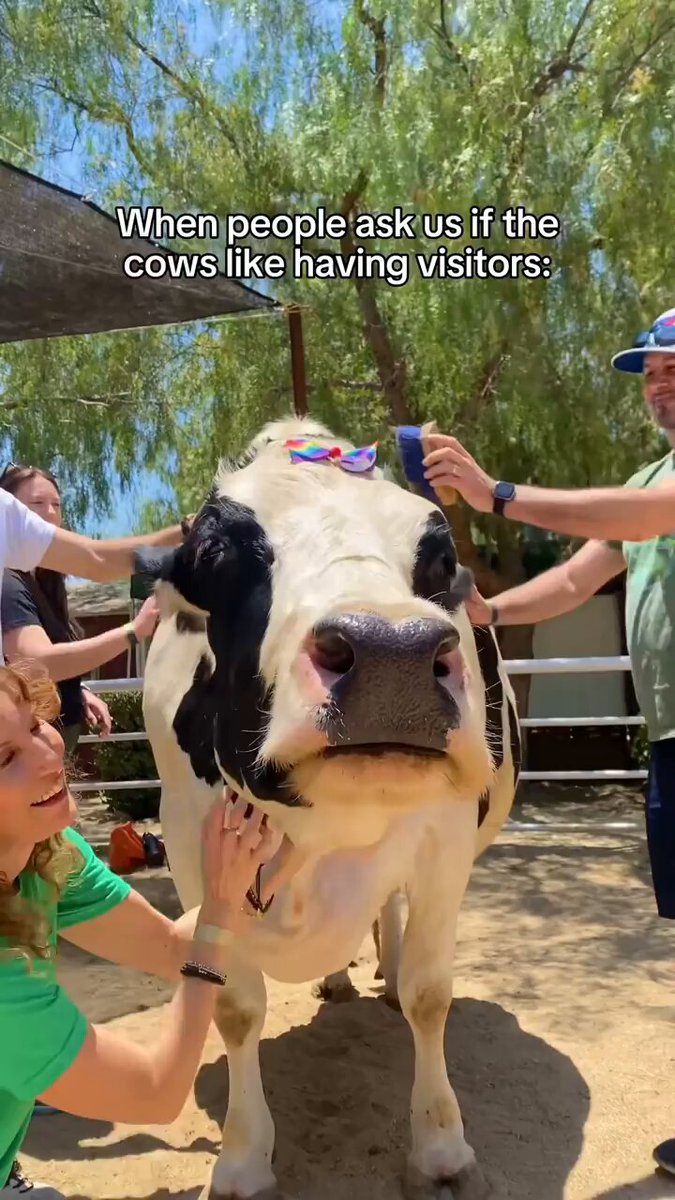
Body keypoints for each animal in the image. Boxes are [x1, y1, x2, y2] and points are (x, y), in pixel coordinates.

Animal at [141, 415, 521, 1200]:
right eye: (215, 552)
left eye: (439, 558)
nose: (390, 653)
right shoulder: (191, 840)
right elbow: (234, 1007)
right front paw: (243, 1160)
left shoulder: (442, 843)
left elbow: (430, 994)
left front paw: (441, 1149)